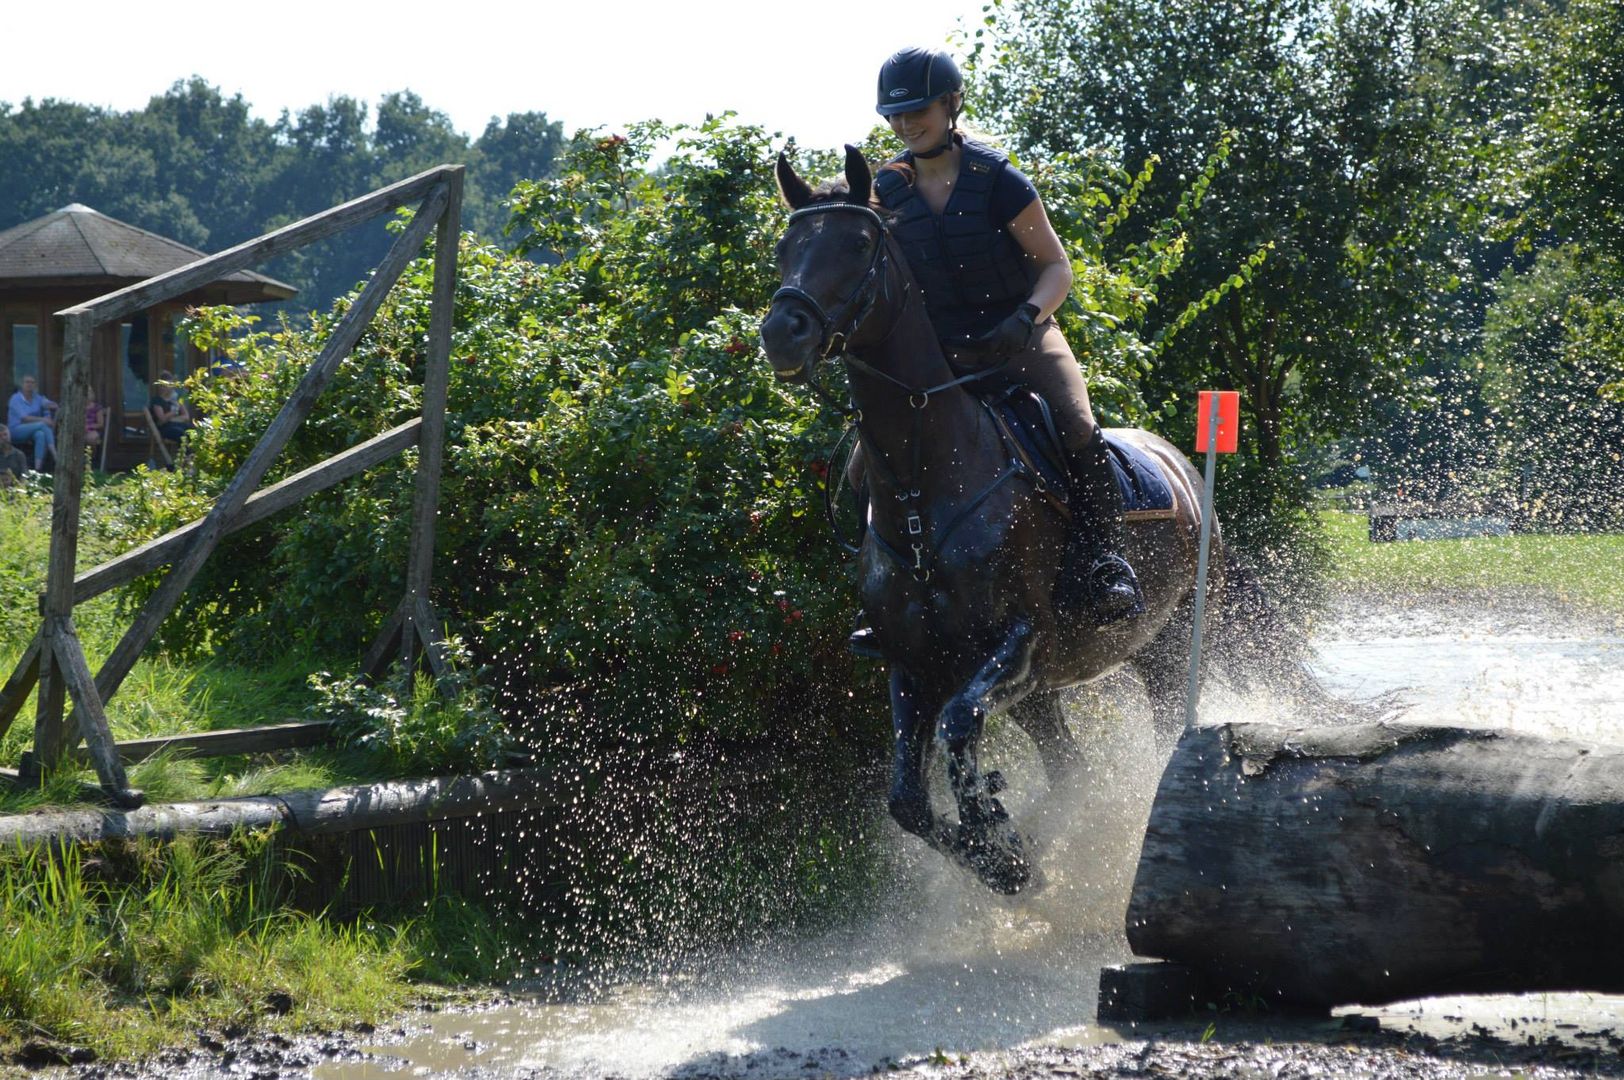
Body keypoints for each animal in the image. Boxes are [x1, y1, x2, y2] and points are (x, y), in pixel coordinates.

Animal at [756, 149, 1221, 889]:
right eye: (785, 248)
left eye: (856, 245)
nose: (781, 334)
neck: (927, 485)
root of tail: (1176, 459)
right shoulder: (913, 662)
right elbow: (908, 799)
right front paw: (1000, 858)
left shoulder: (1022, 642)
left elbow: (959, 724)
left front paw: (992, 827)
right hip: (1049, 694)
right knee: (1069, 767)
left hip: (1169, 642)